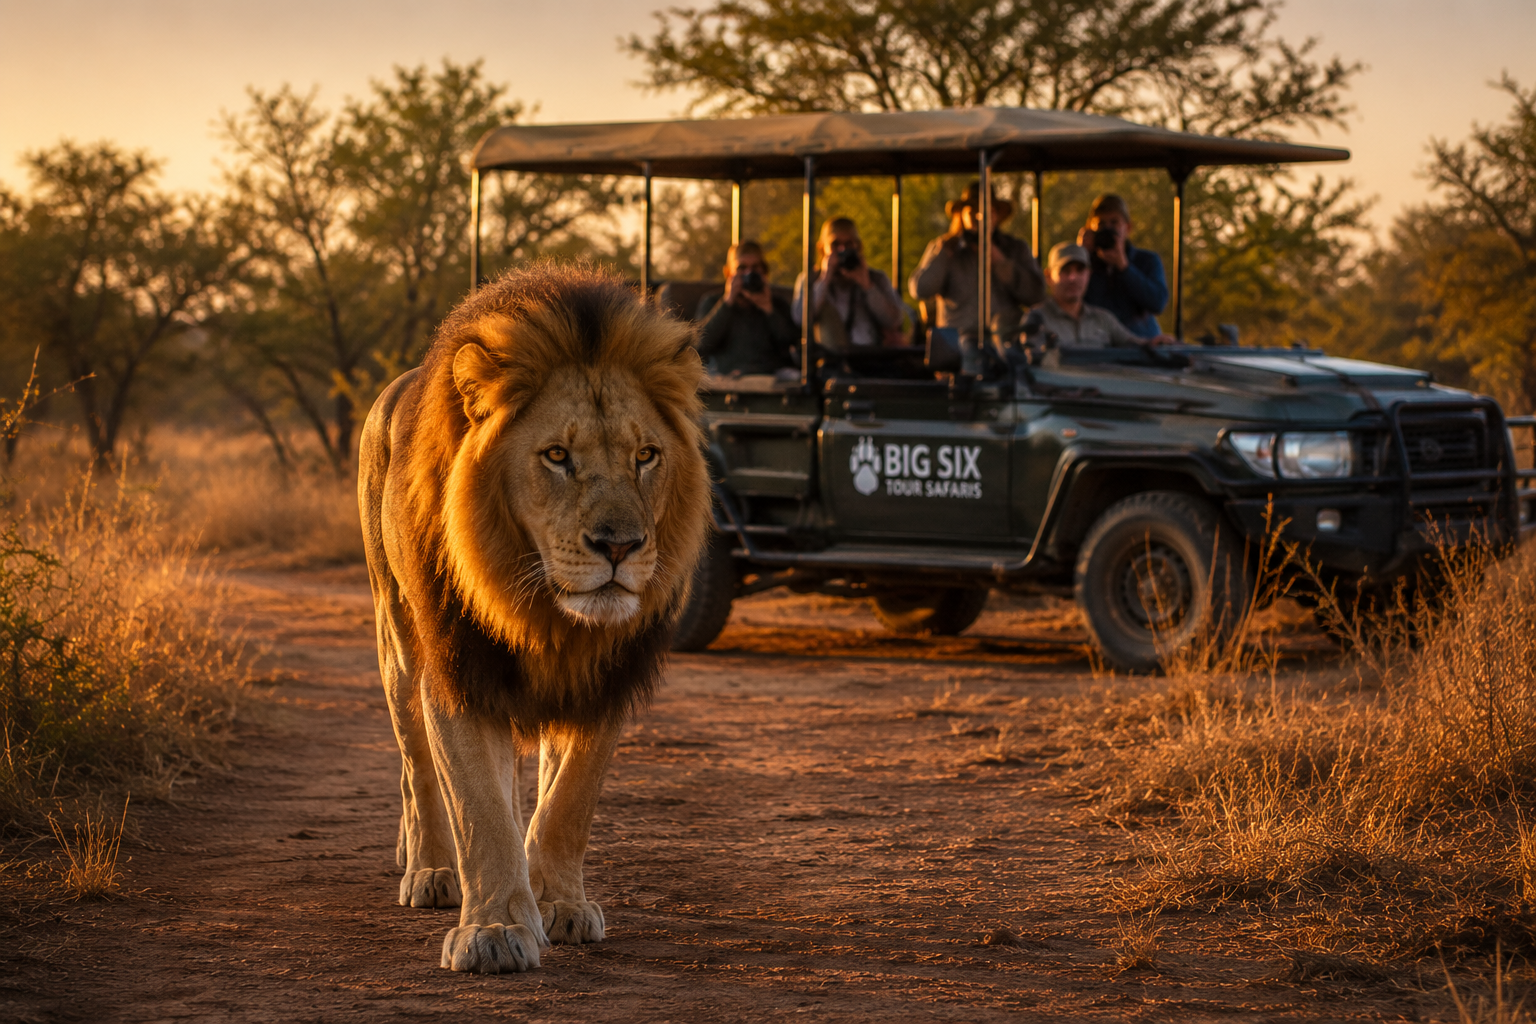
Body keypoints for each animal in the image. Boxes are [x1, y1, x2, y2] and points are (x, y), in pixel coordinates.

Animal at [357, 263, 710, 973]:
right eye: (556, 456)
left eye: (646, 456)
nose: (619, 547)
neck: (545, 613)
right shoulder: (459, 668)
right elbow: (477, 807)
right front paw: (493, 930)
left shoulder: (604, 679)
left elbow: (566, 801)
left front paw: (560, 905)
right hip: (399, 642)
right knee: (417, 765)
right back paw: (431, 869)